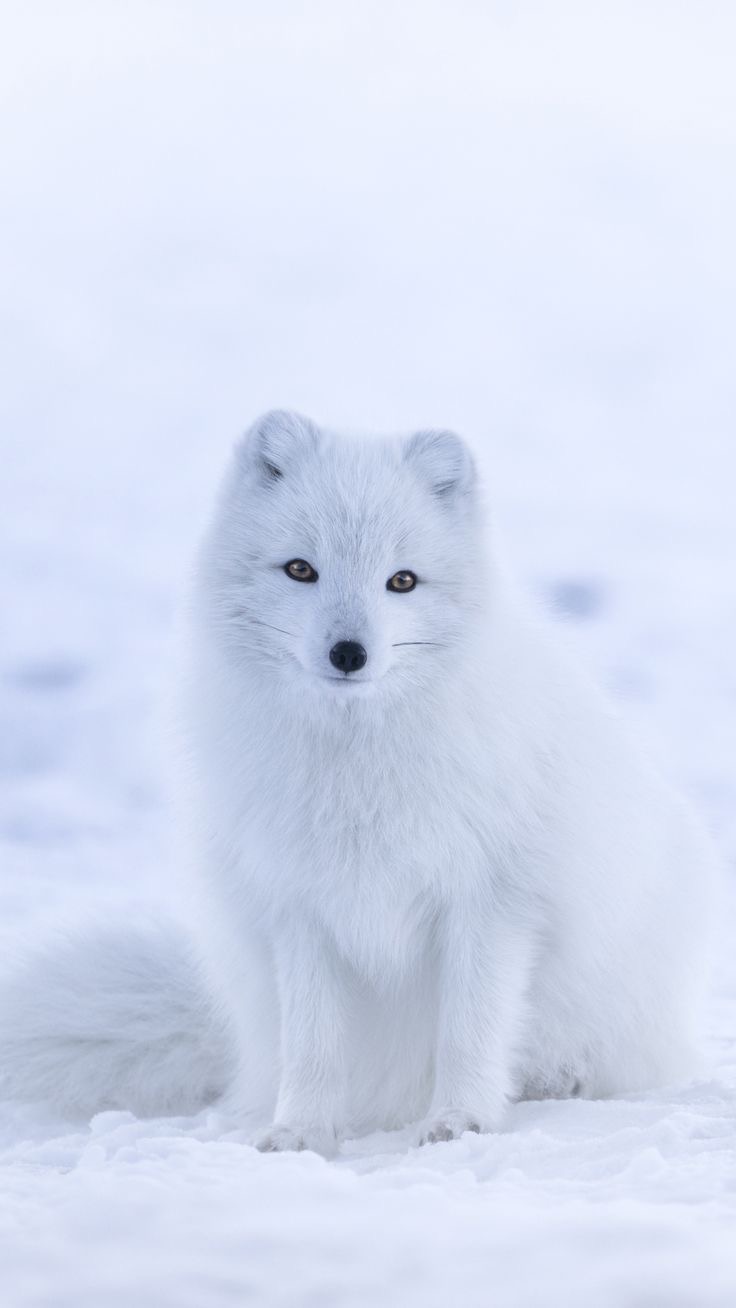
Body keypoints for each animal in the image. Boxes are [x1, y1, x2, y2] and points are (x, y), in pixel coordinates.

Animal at [0, 410, 716, 1156]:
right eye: (300, 569)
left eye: (402, 581)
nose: (349, 653)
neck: (358, 767)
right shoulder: (299, 907)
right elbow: (313, 1044)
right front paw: (302, 1132)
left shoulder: (491, 902)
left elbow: (469, 1030)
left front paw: (461, 1122)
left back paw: (559, 1079)